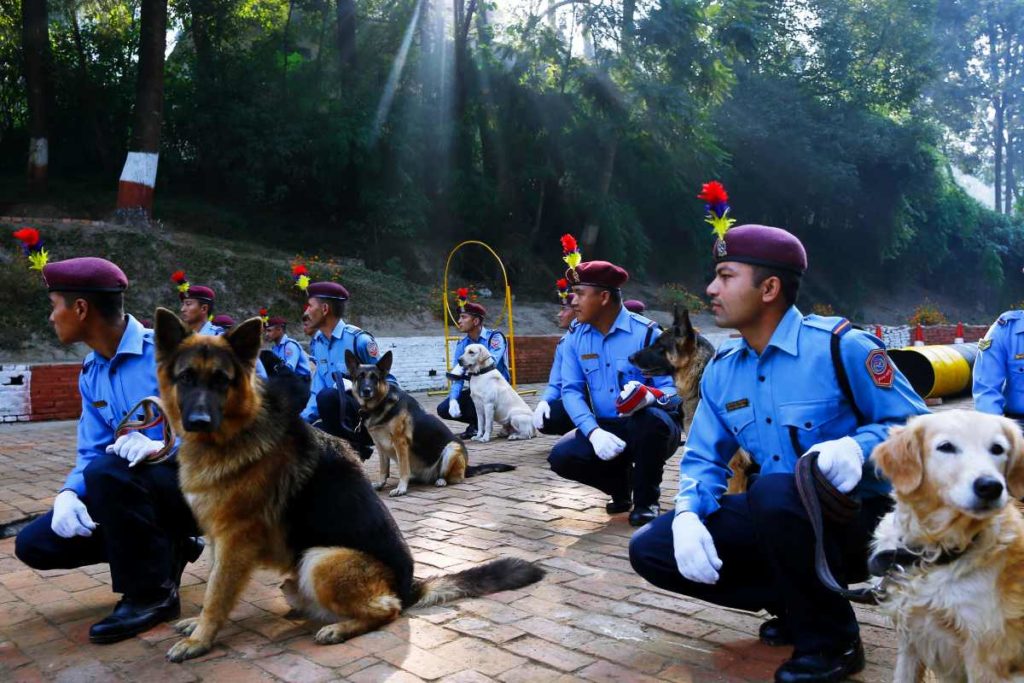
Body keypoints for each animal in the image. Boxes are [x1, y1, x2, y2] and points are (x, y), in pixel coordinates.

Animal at [346, 352, 516, 497]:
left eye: (374, 378)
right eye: (360, 377)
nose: (366, 390)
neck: (379, 404)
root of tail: (467, 466)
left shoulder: (400, 443)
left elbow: (403, 469)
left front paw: (401, 488)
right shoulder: (381, 446)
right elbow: (383, 469)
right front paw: (381, 484)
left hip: (451, 448)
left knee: (454, 478)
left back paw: (441, 480)